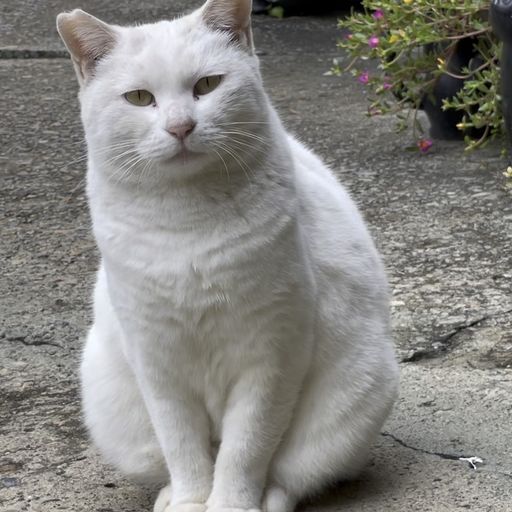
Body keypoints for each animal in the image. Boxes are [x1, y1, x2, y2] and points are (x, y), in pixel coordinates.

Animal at [57, 1, 400, 512]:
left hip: (354, 395)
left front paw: (230, 504)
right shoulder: (156, 362)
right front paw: (190, 501)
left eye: (206, 85)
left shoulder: (271, 358)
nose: (181, 127)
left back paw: (268, 500)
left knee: (287, 475)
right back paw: (169, 497)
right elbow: (182, 447)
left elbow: (246, 449)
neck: (188, 223)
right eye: (139, 98)